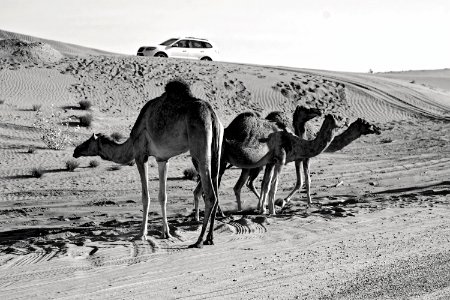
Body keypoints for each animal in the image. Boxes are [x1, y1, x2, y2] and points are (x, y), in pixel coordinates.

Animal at [73, 78, 225, 247]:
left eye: (87, 142)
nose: (75, 151)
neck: (130, 143)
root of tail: (212, 115)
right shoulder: (162, 159)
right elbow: (163, 196)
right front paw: (166, 233)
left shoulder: (140, 156)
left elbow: (146, 197)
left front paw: (142, 234)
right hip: (217, 150)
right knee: (216, 191)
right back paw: (210, 238)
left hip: (199, 150)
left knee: (210, 195)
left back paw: (199, 240)